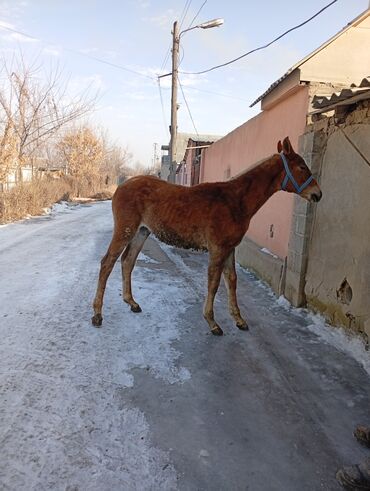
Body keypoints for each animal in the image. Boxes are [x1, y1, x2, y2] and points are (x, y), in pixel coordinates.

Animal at [92, 136, 320, 336]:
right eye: (302, 167)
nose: (318, 194)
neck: (235, 201)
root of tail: (121, 186)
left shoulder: (230, 247)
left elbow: (232, 280)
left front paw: (239, 320)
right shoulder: (218, 248)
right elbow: (214, 282)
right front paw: (212, 322)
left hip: (142, 231)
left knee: (127, 261)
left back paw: (131, 302)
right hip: (125, 229)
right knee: (107, 262)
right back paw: (97, 314)